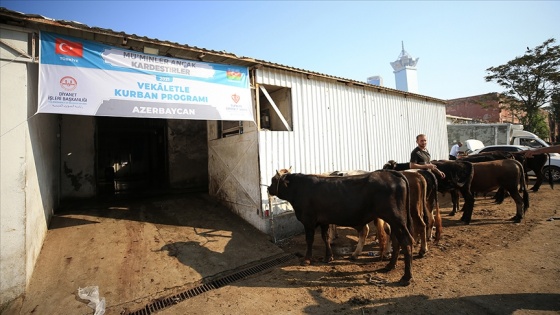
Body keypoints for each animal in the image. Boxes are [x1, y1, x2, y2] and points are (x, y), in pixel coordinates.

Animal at [266, 169, 416, 286]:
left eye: (273, 180)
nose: (268, 188)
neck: (299, 188)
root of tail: (391, 173)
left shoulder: (308, 221)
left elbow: (309, 240)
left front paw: (307, 259)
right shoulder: (324, 221)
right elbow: (326, 237)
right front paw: (328, 257)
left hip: (396, 219)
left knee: (406, 241)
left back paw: (406, 277)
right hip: (394, 221)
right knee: (396, 240)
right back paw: (390, 265)